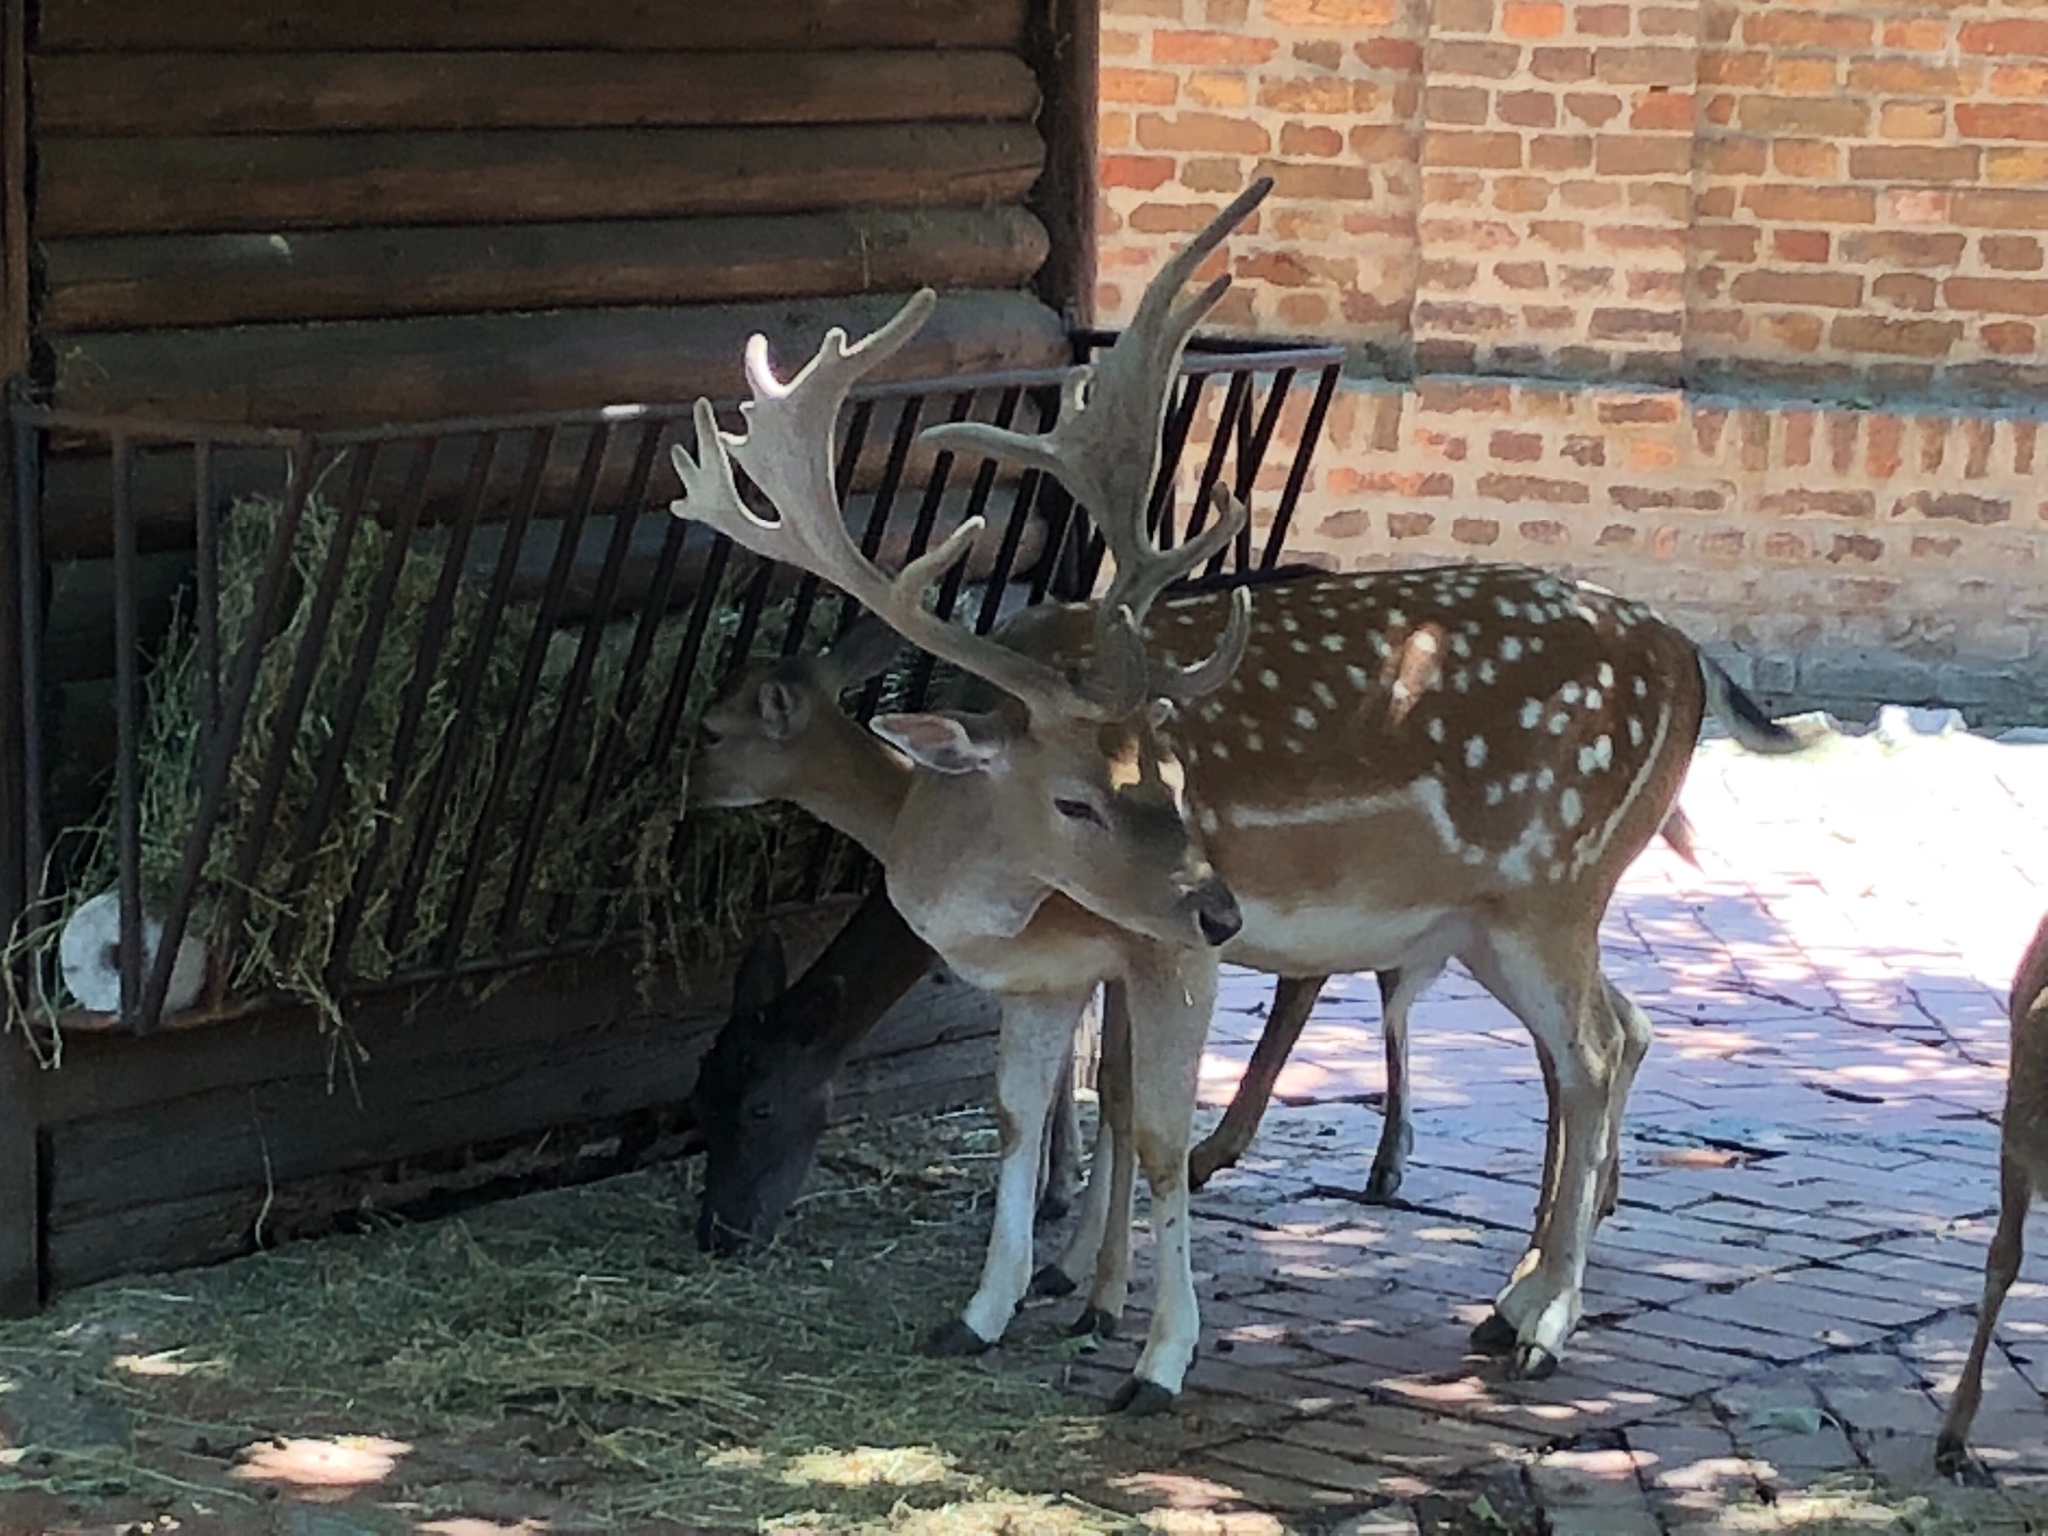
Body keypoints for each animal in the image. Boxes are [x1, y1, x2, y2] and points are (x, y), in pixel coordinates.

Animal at [671, 177, 1794, 1392]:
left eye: (1166, 775)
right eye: (1076, 798)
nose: (1220, 906)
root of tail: (1690, 659)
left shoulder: (1152, 956)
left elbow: (1148, 1128)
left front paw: (1145, 1347)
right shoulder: (1043, 977)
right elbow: (1020, 1118)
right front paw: (986, 1311)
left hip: (1554, 884)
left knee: (1587, 1052)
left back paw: (1538, 1323)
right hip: (1489, 917)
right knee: (1617, 1032)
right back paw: (1521, 1290)